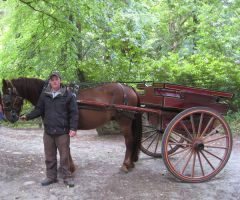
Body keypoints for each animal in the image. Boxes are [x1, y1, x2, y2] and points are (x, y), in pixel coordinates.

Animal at [1, 77, 142, 173]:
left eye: (6, 100)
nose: (9, 118)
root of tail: (129, 88)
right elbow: (65, 146)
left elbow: (64, 147)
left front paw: (69, 167)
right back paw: (131, 163)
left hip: (124, 122)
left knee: (129, 141)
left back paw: (126, 164)